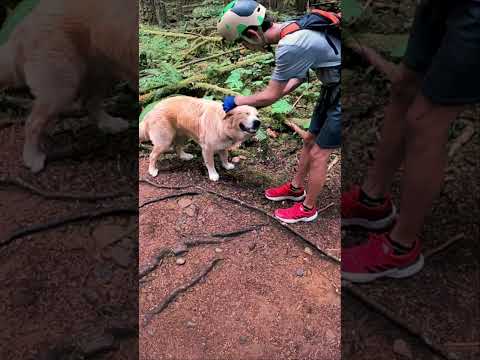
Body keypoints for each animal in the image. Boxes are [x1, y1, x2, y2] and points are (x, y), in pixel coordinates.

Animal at [0, 0, 139, 173]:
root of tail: (22, 26)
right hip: (62, 85)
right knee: (32, 122)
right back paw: (32, 157)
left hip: (105, 70)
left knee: (89, 103)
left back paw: (109, 124)